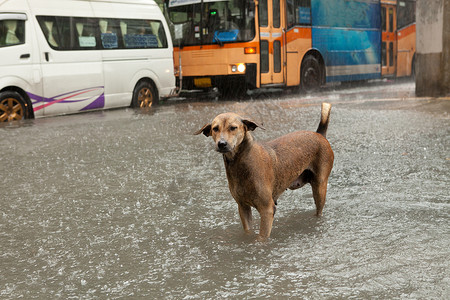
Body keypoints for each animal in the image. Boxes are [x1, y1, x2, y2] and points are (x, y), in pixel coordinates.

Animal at [195, 103, 332, 239]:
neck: (241, 163)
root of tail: (319, 134)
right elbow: (248, 230)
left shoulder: (267, 209)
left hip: (320, 188)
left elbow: (262, 238)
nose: (221, 143)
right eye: (215, 129)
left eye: (233, 128)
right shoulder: (243, 207)